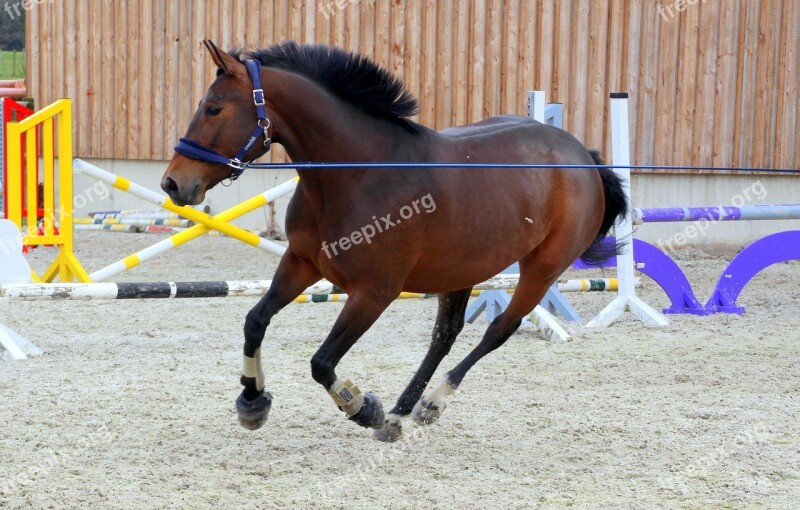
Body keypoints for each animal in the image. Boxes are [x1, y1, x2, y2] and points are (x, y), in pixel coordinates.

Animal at [162, 41, 624, 442]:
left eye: (213, 108)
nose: (173, 183)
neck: (360, 174)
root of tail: (583, 157)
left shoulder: (374, 292)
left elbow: (321, 362)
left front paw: (362, 407)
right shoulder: (300, 263)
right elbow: (255, 321)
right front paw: (252, 400)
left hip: (542, 270)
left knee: (498, 329)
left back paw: (429, 404)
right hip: (461, 269)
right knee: (445, 335)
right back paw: (402, 413)